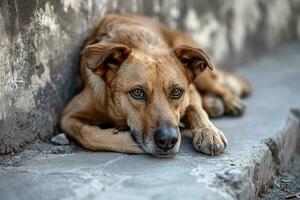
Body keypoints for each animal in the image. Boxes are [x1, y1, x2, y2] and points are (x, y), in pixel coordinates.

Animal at [59, 14, 251, 158]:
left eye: (177, 92)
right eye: (137, 93)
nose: (168, 141)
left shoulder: (190, 91)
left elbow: (195, 108)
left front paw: (208, 131)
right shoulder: (67, 116)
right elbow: (87, 133)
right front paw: (127, 142)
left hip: (203, 75)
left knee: (220, 87)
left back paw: (230, 101)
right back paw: (214, 103)